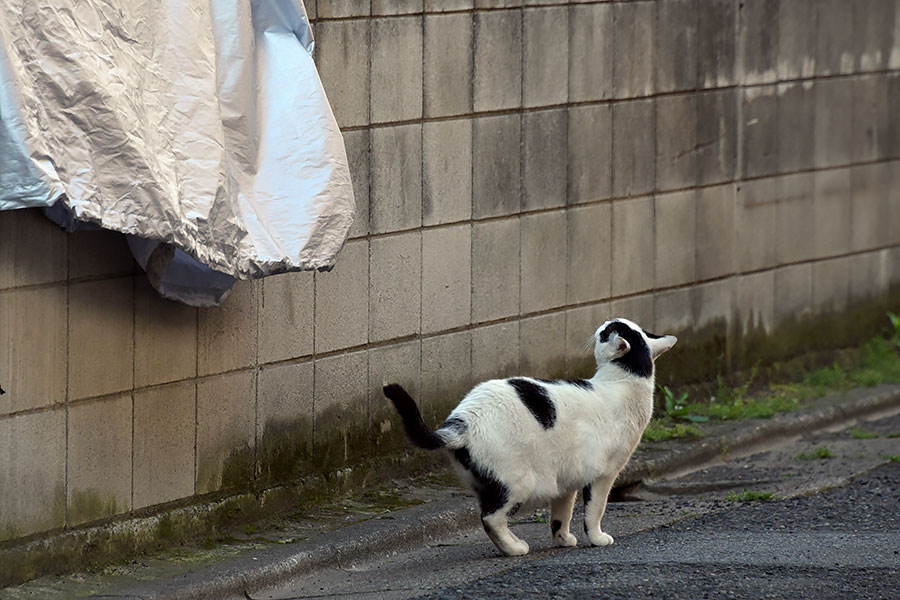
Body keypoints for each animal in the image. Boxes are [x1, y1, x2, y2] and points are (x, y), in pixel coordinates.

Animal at [384, 318, 676, 556]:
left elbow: (564, 514)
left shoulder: (573, 478)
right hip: (517, 483)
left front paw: (563, 539)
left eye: (607, 331)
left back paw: (513, 544)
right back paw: (514, 548)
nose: (604, 322)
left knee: (490, 515)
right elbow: (595, 510)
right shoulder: (603, 476)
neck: (625, 382)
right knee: (490, 517)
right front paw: (597, 538)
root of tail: (463, 420)